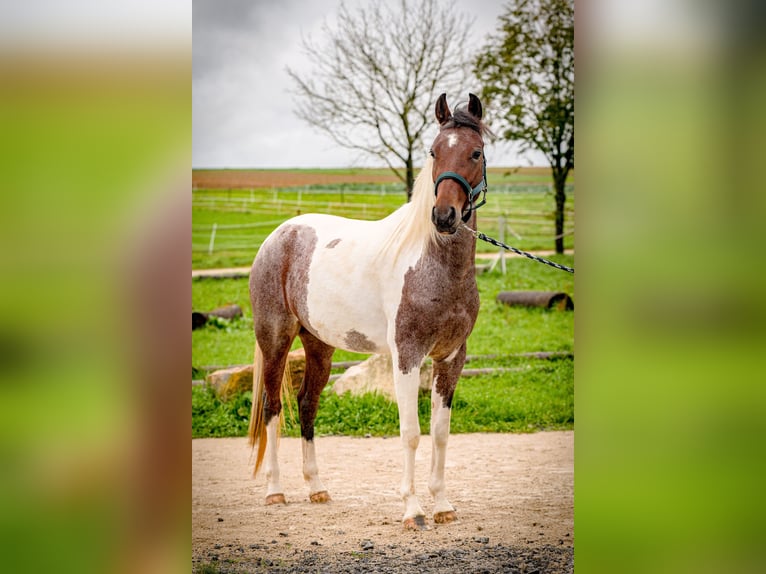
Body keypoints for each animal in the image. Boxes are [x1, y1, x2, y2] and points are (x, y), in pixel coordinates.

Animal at [248, 93, 490, 530]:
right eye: (433, 152)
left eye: (475, 152)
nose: (443, 216)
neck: (433, 264)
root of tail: (279, 235)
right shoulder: (407, 356)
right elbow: (411, 432)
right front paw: (413, 510)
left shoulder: (451, 357)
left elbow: (440, 433)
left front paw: (442, 504)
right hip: (275, 339)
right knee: (273, 408)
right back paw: (275, 490)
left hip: (319, 345)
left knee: (307, 403)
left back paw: (316, 488)